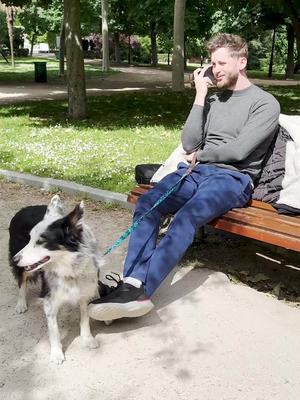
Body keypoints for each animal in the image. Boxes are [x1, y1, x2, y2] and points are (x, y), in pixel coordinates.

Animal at [8, 195, 102, 364]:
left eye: (40, 241)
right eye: (30, 239)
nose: (15, 259)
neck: (69, 267)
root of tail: (25, 209)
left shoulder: (84, 291)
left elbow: (85, 317)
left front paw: (87, 338)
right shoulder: (50, 301)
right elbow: (54, 330)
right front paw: (57, 353)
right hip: (21, 264)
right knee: (21, 282)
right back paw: (21, 303)